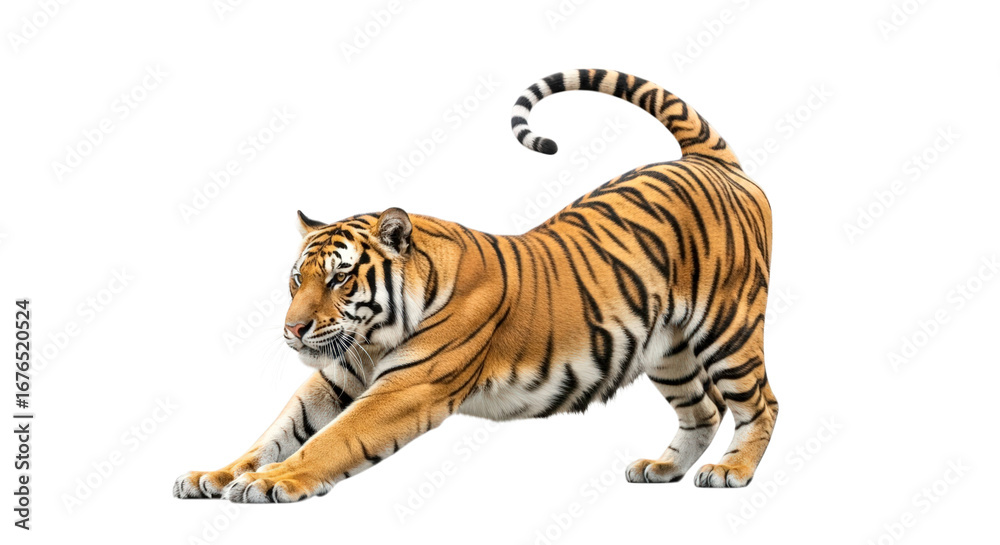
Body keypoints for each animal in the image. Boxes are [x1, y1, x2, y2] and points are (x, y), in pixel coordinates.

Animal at [173, 68, 778, 503]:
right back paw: (664, 467)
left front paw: (272, 481)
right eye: (297, 280)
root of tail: (705, 161)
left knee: (761, 403)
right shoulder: (336, 373)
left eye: (340, 278)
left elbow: (333, 439)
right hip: (667, 348)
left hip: (729, 329)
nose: (293, 330)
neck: (375, 336)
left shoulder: (407, 388)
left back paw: (732, 471)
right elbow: (276, 431)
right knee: (703, 409)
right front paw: (217, 475)